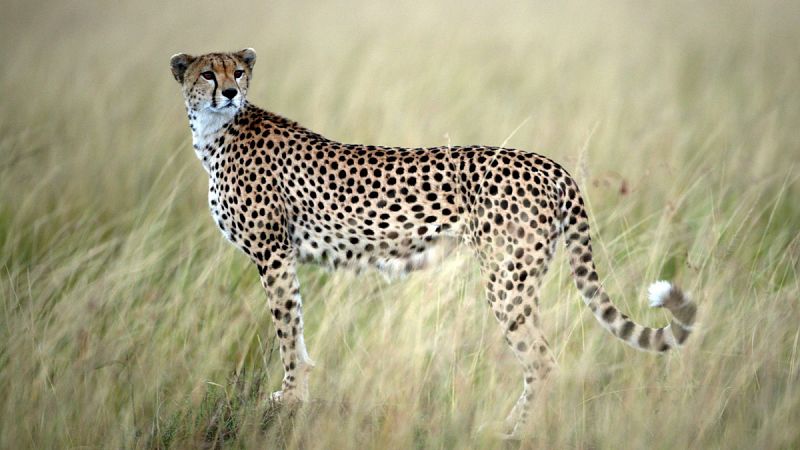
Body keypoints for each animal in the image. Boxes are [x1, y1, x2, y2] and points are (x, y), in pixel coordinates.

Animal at [169, 48, 696, 438]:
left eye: (237, 72)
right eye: (207, 74)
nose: (230, 92)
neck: (216, 133)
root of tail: (549, 163)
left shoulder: (273, 253)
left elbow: (285, 328)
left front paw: (291, 395)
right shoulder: (280, 256)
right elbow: (295, 329)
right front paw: (297, 392)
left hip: (507, 280)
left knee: (543, 361)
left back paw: (513, 431)